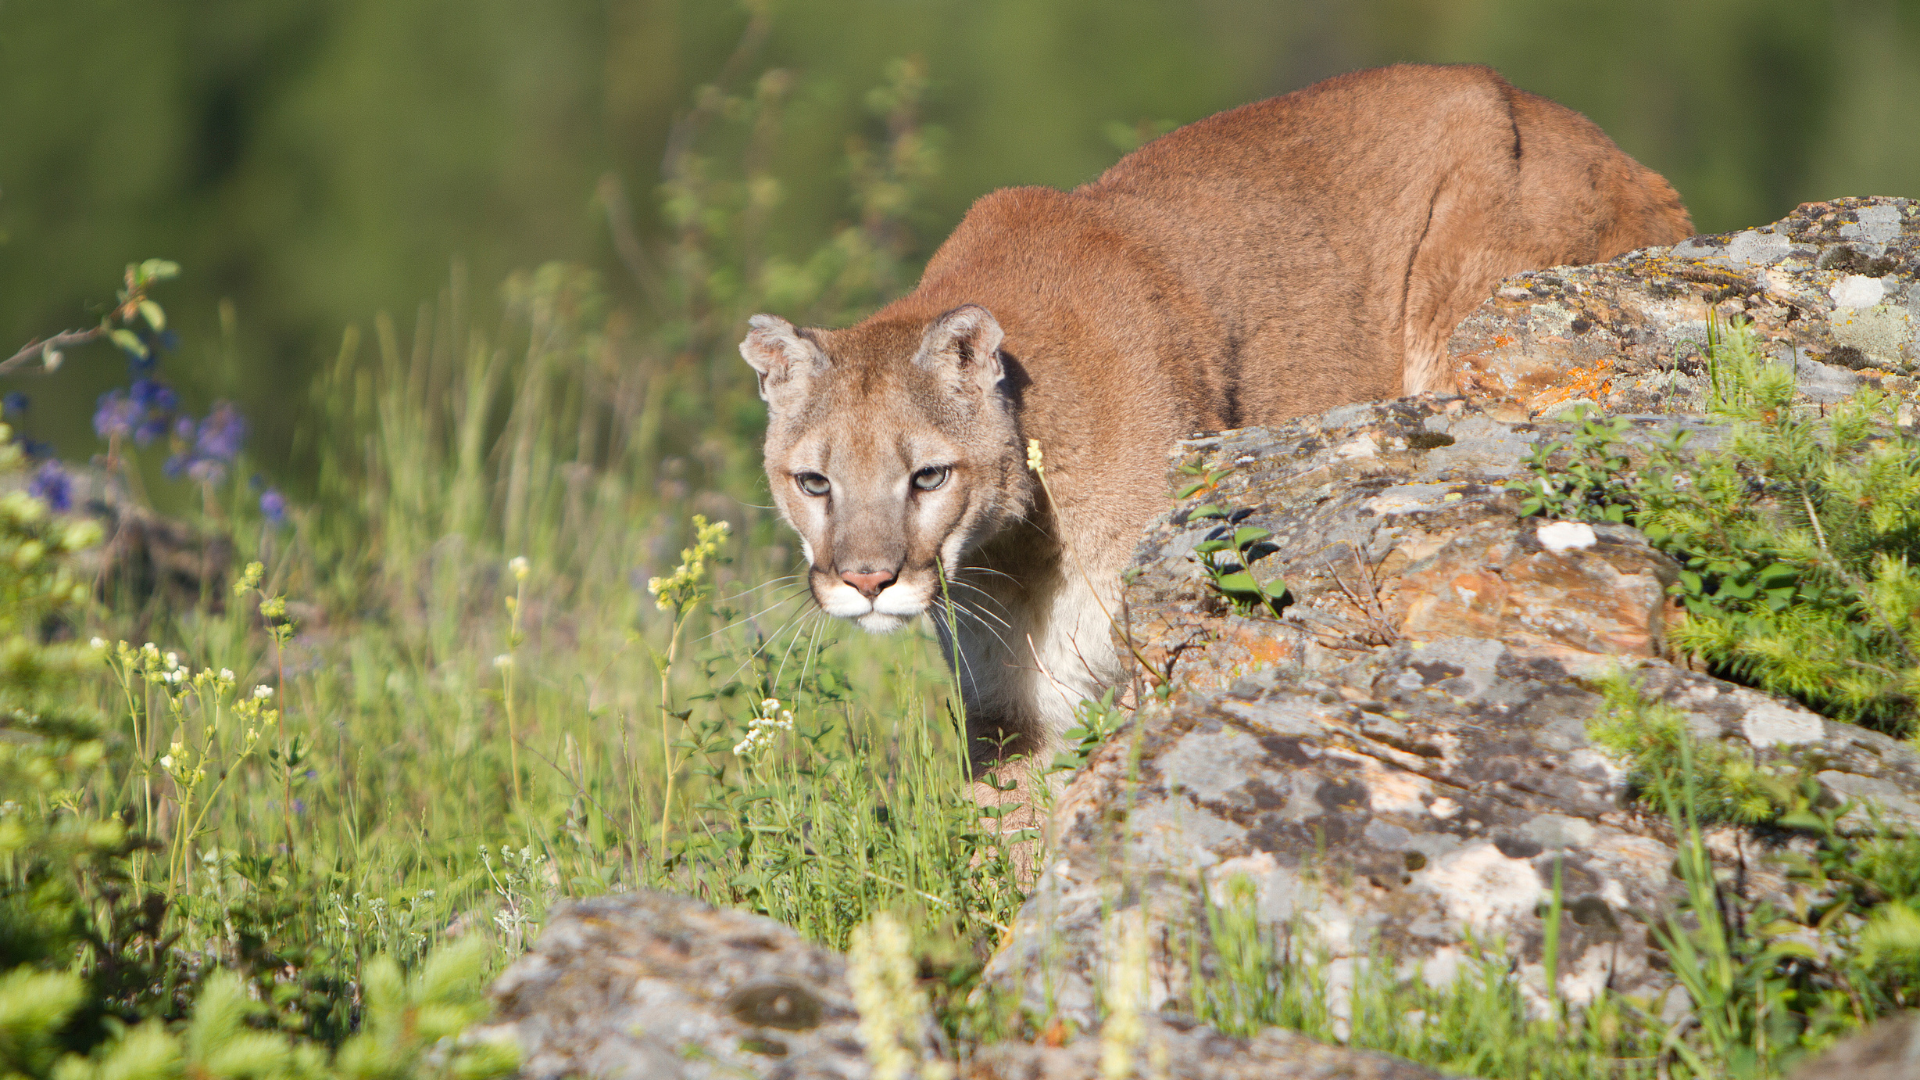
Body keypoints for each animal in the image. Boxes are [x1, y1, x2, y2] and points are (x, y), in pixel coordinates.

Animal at [741, 65, 1689, 764]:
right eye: (814, 482)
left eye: (928, 476)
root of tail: (1609, 145)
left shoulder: (1134, 644)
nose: (867, 581)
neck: (1010, 549)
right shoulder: (1010, 703)